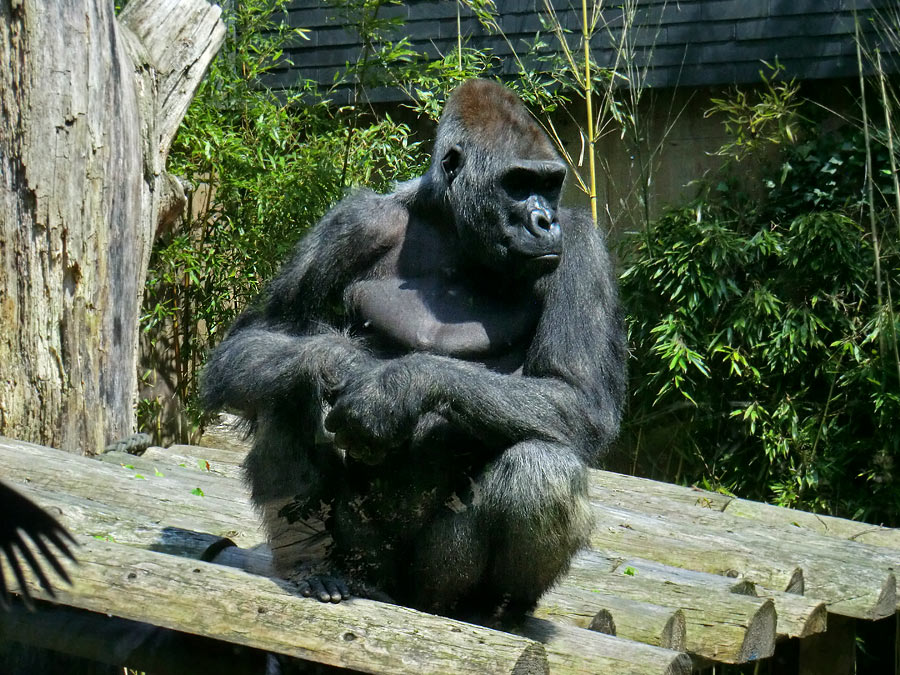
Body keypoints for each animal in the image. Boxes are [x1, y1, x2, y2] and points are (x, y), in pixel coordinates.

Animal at [202, 79, 624, 624]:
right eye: (517, 183)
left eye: (551, 185)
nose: (544, 220)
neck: (453, 227)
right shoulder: (352, 223)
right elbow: (257, 338)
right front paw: (341, 361)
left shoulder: (579, 246)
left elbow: (577, 394)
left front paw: (394, 387)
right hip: (363, 560)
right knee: (285, 383)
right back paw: (312, 564)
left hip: (431, 587)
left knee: (544, 466)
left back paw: (491, 609)